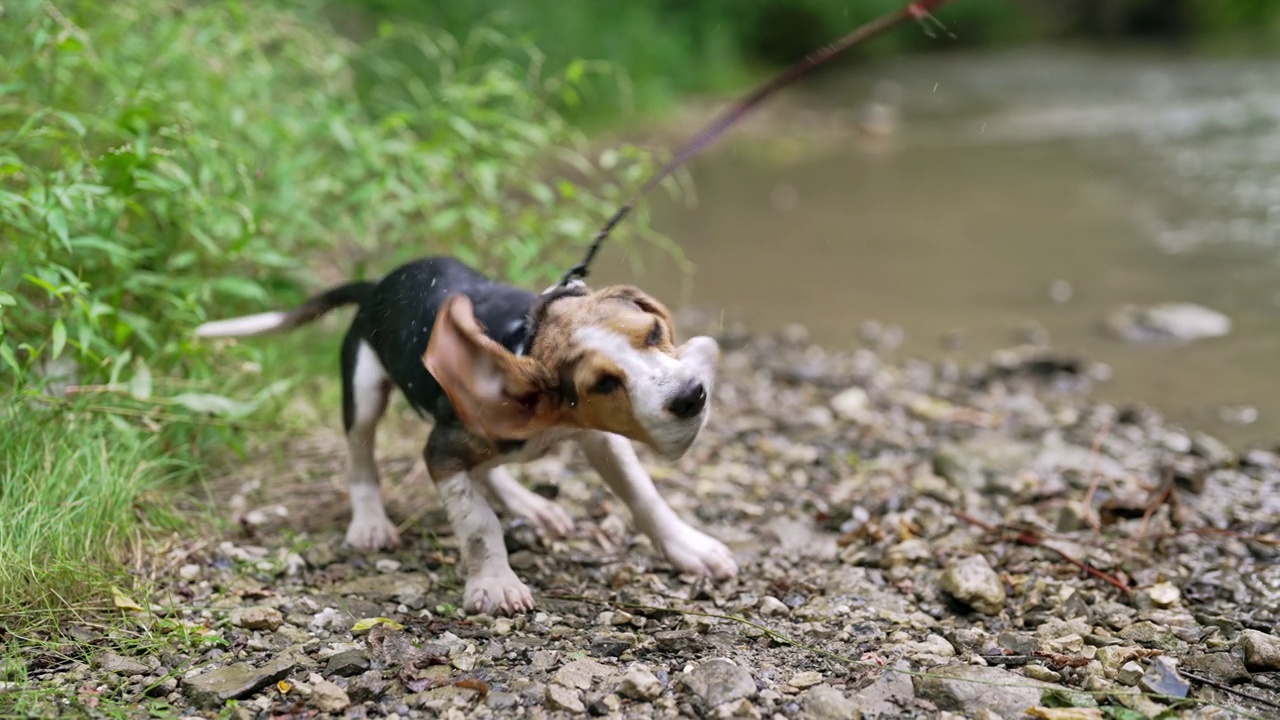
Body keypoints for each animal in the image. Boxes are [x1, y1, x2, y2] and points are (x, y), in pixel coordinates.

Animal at [193, 256, 737, 609]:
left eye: (653, 334)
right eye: (603, 382)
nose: (692, 396)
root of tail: (377, 286)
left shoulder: (599, 437)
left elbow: (644, 496)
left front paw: (690, 548)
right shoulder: (442, 449)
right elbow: (478, 524)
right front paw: (494, 582)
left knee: (490, 469)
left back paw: (532, 506)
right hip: (364, 388)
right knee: (361, 455)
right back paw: (370, 521)